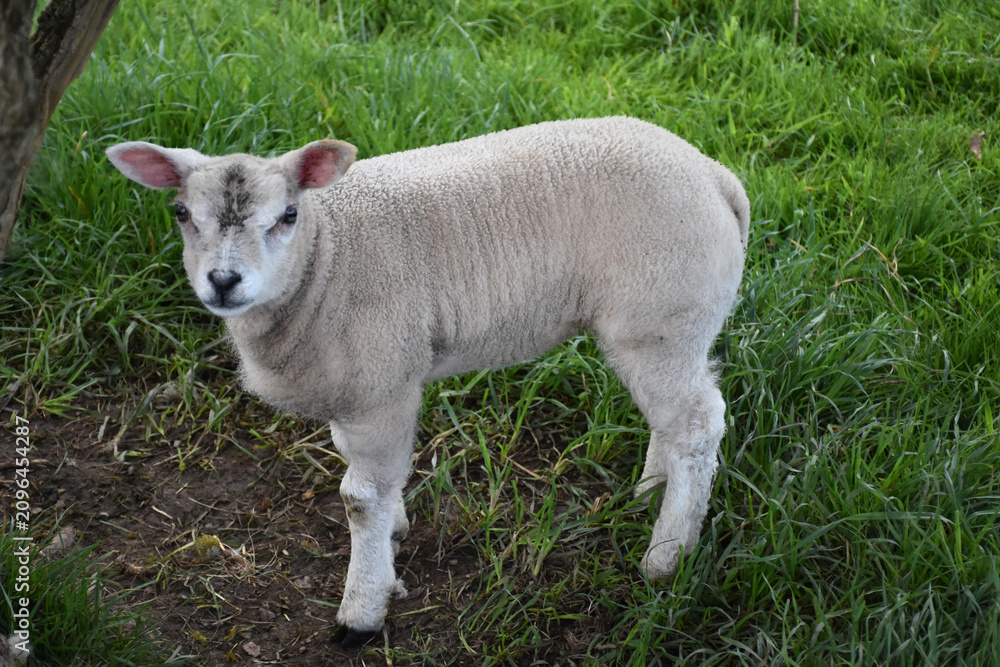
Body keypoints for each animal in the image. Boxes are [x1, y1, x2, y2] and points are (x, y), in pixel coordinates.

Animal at [106, 116, 750, 648]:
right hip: (669, 330)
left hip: (661, 317)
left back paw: (666, 557)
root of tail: (715, 176)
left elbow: (360, 497)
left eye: (287, 216)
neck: (327, 256)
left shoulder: (382, 379)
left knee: (698, 425)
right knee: (674, 419)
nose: (222, 281)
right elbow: (366, 471)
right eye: (181, 214)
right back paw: (648, 493)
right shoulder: (356, 388)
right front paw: (393, 539)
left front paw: (361, 613)